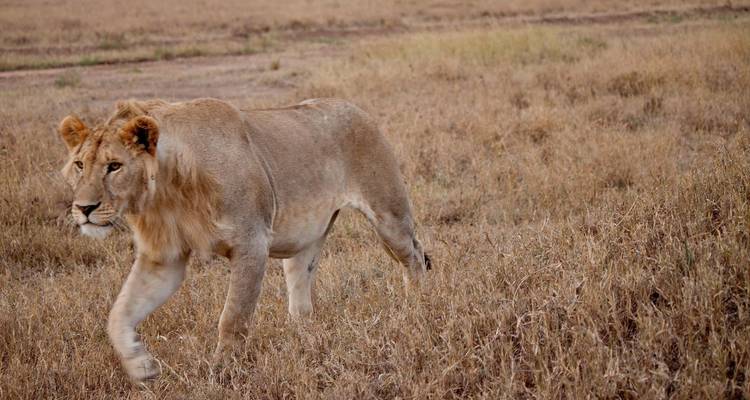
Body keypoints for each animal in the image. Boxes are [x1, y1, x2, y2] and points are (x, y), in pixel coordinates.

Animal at [57, 97, 431, 382]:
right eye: (79, 165)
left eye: (114, 166)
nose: (84, 208)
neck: (168, 189)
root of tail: (355, 107)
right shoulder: (164, 259)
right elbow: (119, 313)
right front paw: (140, 365)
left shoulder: (252, 244)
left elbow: (233, 317)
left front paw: (222, 372)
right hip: (303, 240)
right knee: (301, 296)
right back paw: (302, 338)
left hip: (388, 217)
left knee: (414, 256)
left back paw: (415, 308)